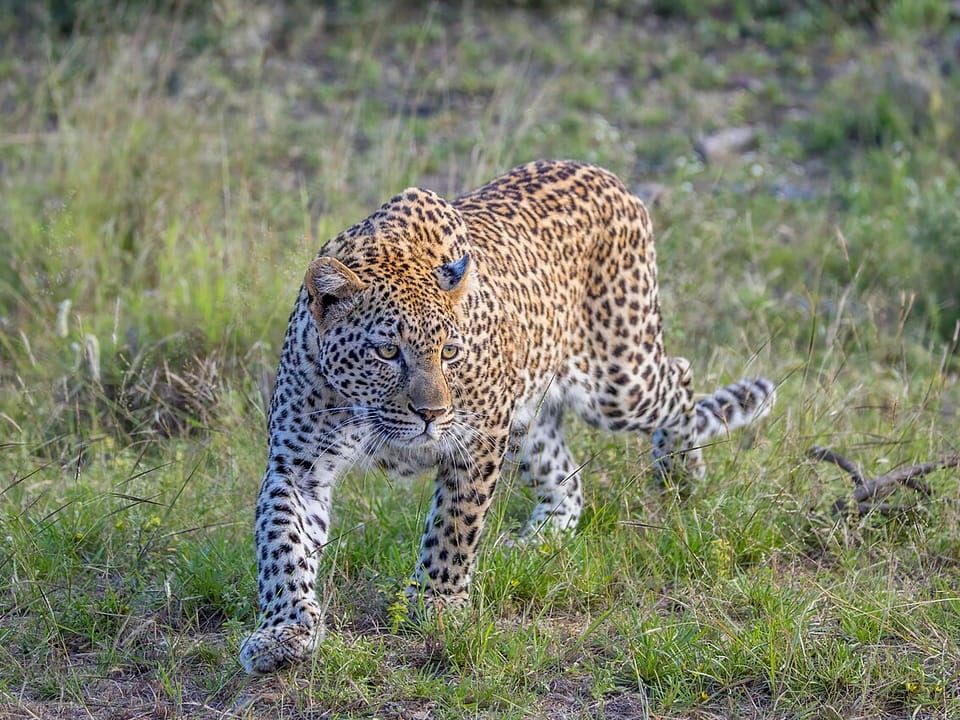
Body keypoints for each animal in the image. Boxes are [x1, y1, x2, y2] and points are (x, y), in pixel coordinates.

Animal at [239, 160, 776, 674]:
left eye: (450, 352)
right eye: (387, 351)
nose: (432, 413)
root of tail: (609, 177)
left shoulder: (477, 437)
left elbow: (454, 526)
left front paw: (436, 602)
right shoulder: (298, 466)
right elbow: (282, 545)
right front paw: (284, 631)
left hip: (619, 380)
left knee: (679, 374)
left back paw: (680, 474)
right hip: (532, 414)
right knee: (567, 482)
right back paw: (535, 542)